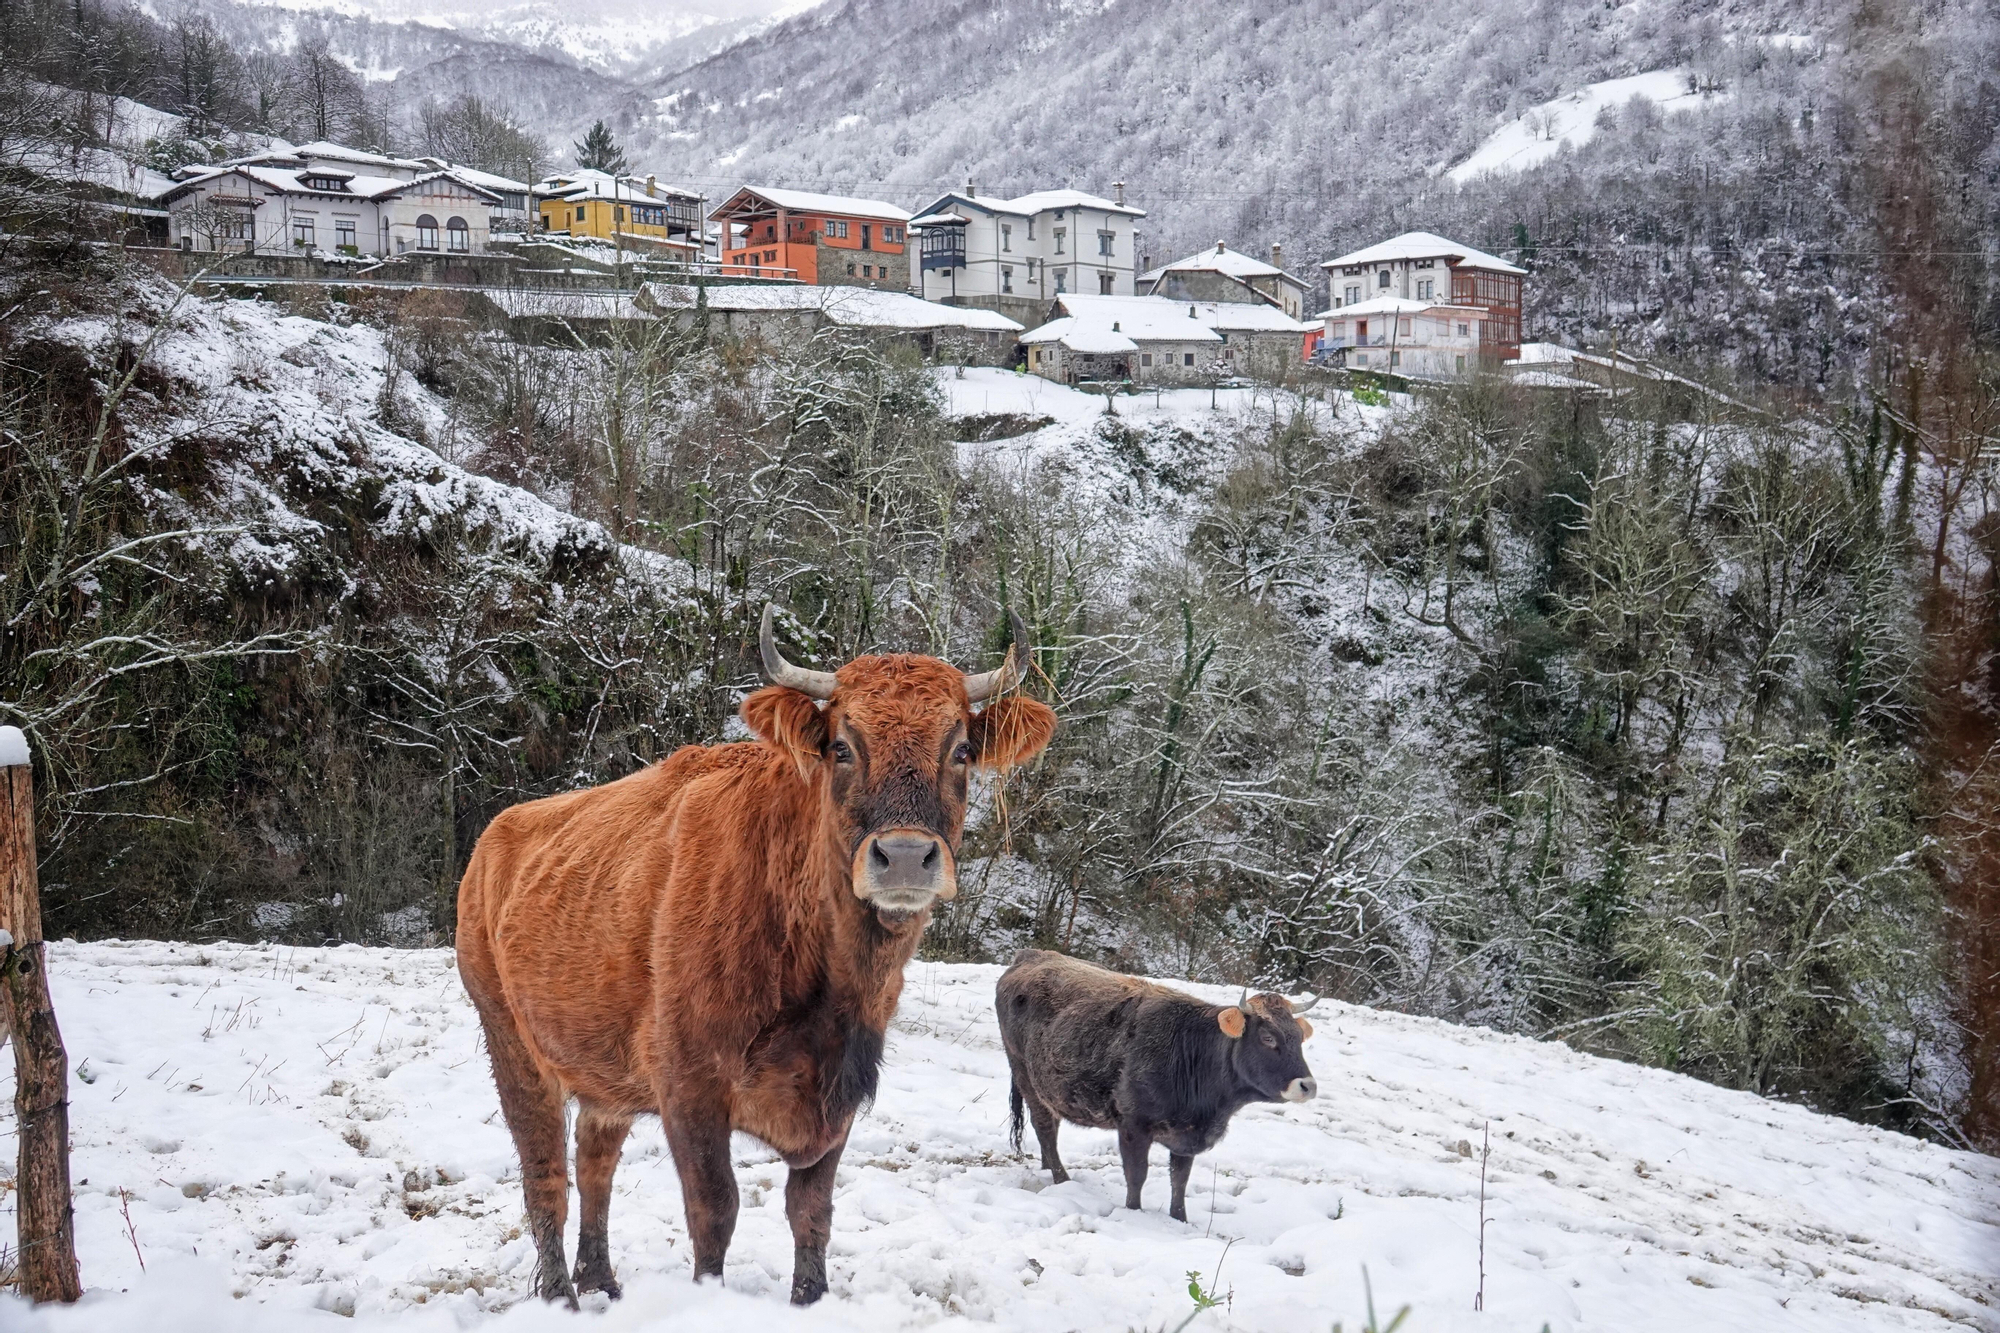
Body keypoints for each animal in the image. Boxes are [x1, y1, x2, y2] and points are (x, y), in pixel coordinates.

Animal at [456, 606, 1057, 1307]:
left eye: (960, 749)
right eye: (841, 746)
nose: (905, 857)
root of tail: (494, 840)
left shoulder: (838, 1094)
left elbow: (811, 1211)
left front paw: (809, 1296)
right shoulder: (691, 1088)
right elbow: (716, 1210)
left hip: (603, 1072)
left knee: (595, 1160)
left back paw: (600, 1279)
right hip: (515, 1049)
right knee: (545, 1172)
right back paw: (560, 1294)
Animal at [996, 949, 1317, 1222]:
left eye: (1299, 1038)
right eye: (1268, 1038)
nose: (1308, 1086)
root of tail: (1032, 955)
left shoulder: (1186, 1137)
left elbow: (1180, 1180)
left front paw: (1180, 1219)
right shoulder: (1133, 1126)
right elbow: (1137, 1174)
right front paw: (1134, 1213)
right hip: (1025, 1075)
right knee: (1045, 1127)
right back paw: (1061, 1178)